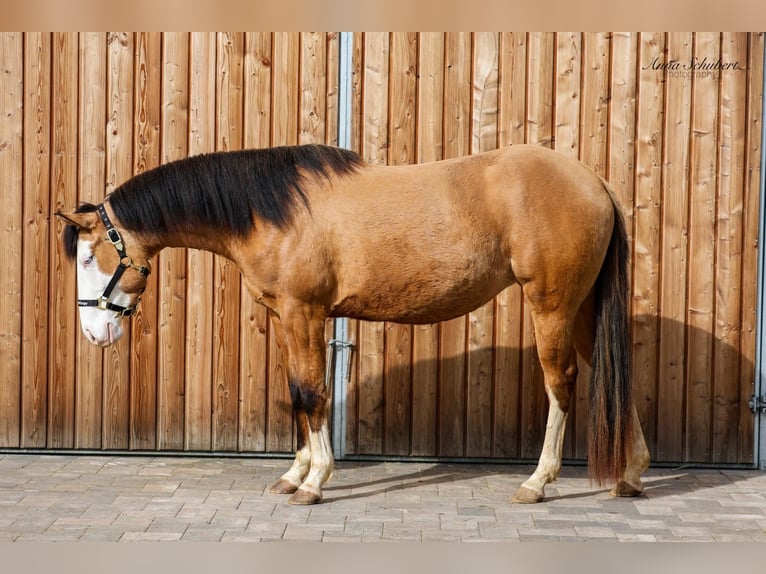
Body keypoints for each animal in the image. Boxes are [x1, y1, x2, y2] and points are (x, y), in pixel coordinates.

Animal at [56, 143, 650, 505]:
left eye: (87, 257)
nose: (92, 334)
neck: (272, 210)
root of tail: (594, 181)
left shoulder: (304, 312)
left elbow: (312, 393)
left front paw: (315, 481)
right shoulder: (287, 317)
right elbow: (298, 391)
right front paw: (294, 474)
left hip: (552, 305)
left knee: (562, 383)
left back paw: (538, 481)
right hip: (583, 308)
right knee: (609, 374)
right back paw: (631, 474)